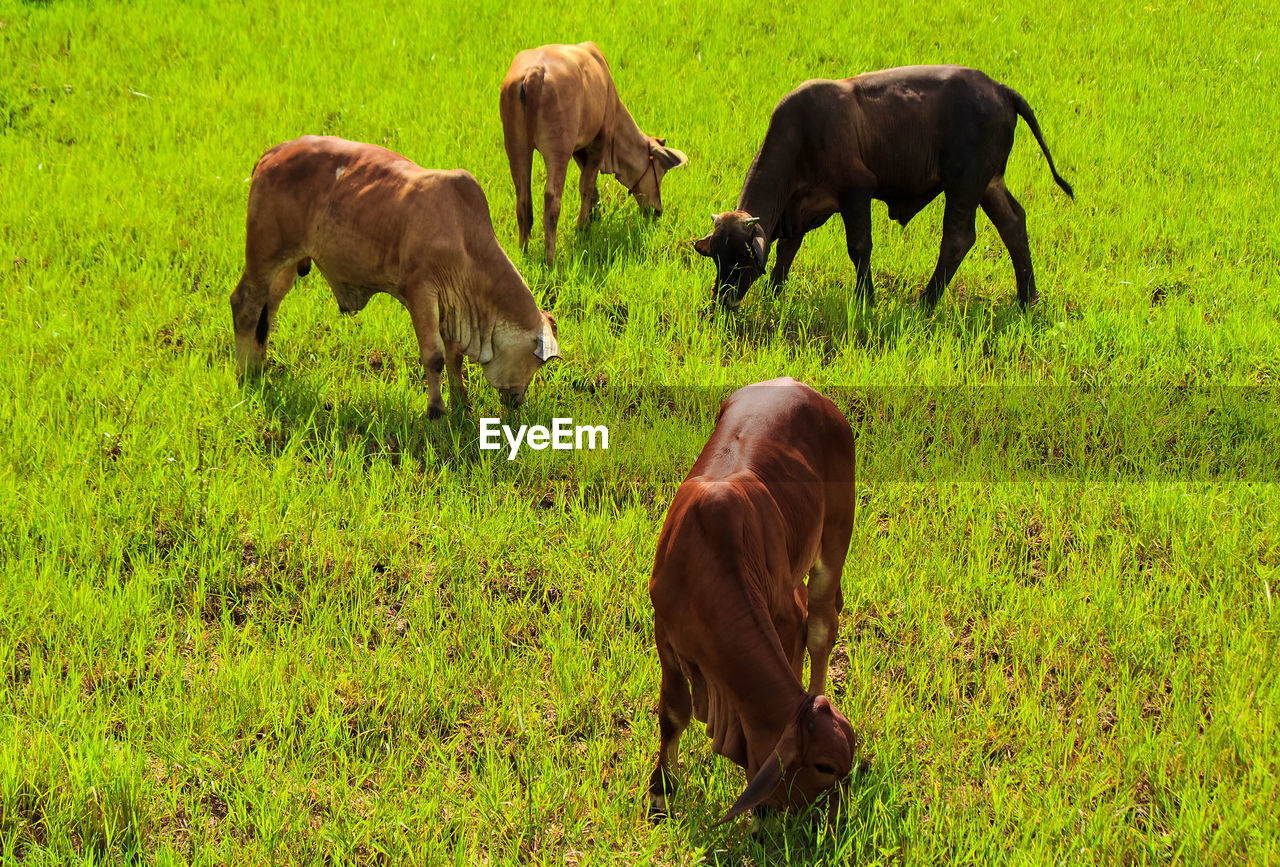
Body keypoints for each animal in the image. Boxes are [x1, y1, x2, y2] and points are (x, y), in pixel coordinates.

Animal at [230, 135, 560, 414]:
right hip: (264, 254)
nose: (518, 401)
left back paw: (259, 366)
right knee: (245, 304)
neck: (466, 239)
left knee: (268, 310)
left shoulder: (451, 304)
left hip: (288, 263)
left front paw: (461, 402)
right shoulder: (420, 291)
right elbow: (434, 356)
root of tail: (273, 152)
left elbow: (454, 356)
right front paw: (436, 411)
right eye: (535, 364)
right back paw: (245, 373)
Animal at [496, 41, 691, 263]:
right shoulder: (600, 140)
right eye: (660, 171)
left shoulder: (580, 147)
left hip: (516, 145)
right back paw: (550, 259)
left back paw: (523, 253)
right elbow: (587, 186)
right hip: (558, 149)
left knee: (523, 199)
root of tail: (535, 73)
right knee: (552, 200)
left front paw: (593, 214)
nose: (657, 211)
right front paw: (583, 227)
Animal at [650, 376, 860, 824]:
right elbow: (673, 713)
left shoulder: (784, 622)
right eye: (825, 767)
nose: (835, 820)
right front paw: (660, 794)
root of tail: (804, 389)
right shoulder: (666, 634)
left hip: (834, 541)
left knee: (821, 629)